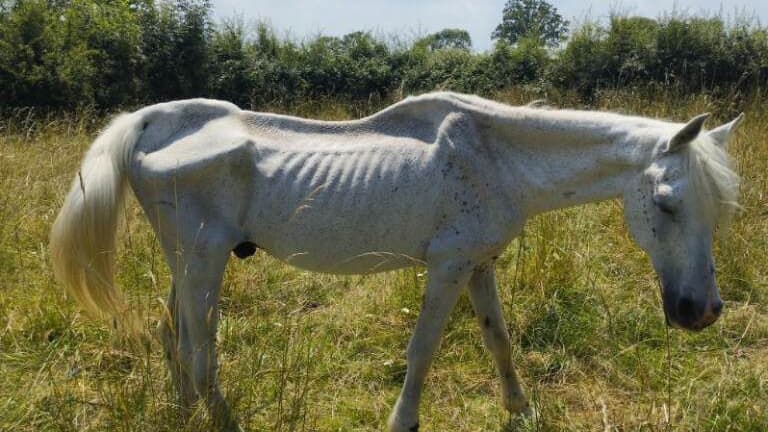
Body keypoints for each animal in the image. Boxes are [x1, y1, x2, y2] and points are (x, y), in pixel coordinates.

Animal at [49, 93, 744, 430]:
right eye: (667, 203)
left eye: (718, 208)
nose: (702, 312)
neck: (495, 157)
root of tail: (149, 122)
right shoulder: (447, 267)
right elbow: (423, 350)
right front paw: (402, 421)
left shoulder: (479, 264)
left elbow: (499, 341)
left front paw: (519, 410)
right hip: (203, 260)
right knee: (200, 351)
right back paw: (219, 420)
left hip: (185, 262)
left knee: (173, 336)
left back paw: (187, 414)